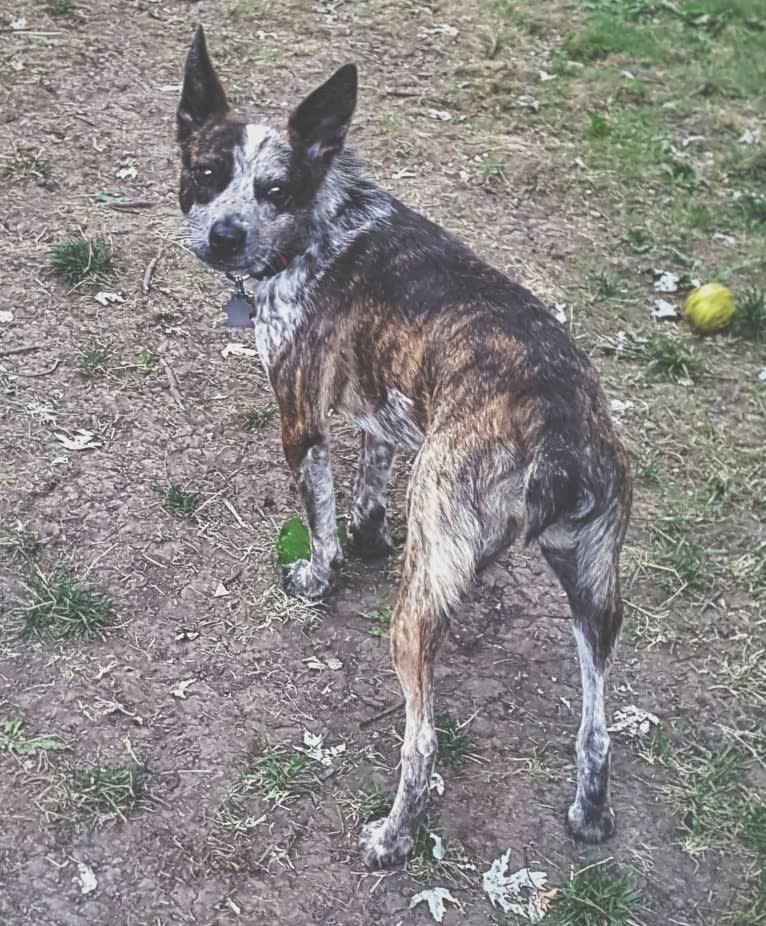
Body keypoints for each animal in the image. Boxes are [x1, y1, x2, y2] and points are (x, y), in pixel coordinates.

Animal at [177, 27, 632, 872]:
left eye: (276, 192)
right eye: (209, 174)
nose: (225, 234)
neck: (321, 224)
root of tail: (556, 436)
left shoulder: (301, 422)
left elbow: (319, 521)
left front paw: (318, 576)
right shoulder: (381, 420)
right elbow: (366, 490)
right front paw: (366, 537)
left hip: (418, 612)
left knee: (422, 744)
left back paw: (392, 837)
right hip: (594, 593)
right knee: (595, 727)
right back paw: (588, 812)